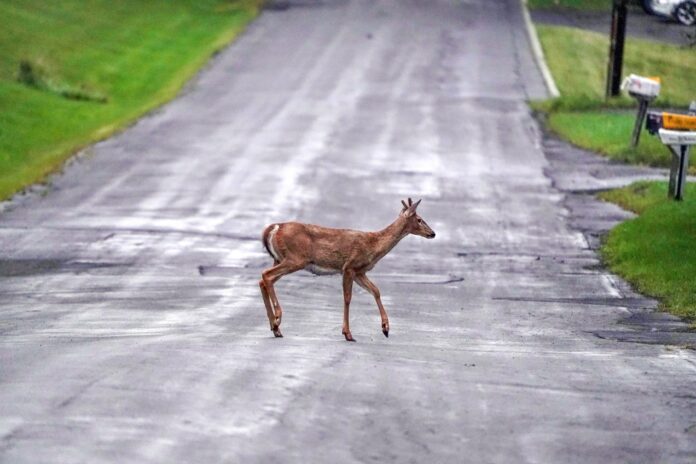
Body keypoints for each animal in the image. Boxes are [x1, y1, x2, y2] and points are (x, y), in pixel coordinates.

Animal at [259, 198, 436, 342]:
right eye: (419, 219)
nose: (433, 233)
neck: (373, 245)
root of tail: (274, 227)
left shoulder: (360, 272)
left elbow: (376, 291)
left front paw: (385, 328)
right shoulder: (349, 267)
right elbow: (348, 298)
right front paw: (348, 333)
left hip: (280, 258)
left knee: (263, 280)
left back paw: (275, 328)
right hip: (295, 259)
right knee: (266, 275)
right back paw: (277, 319)